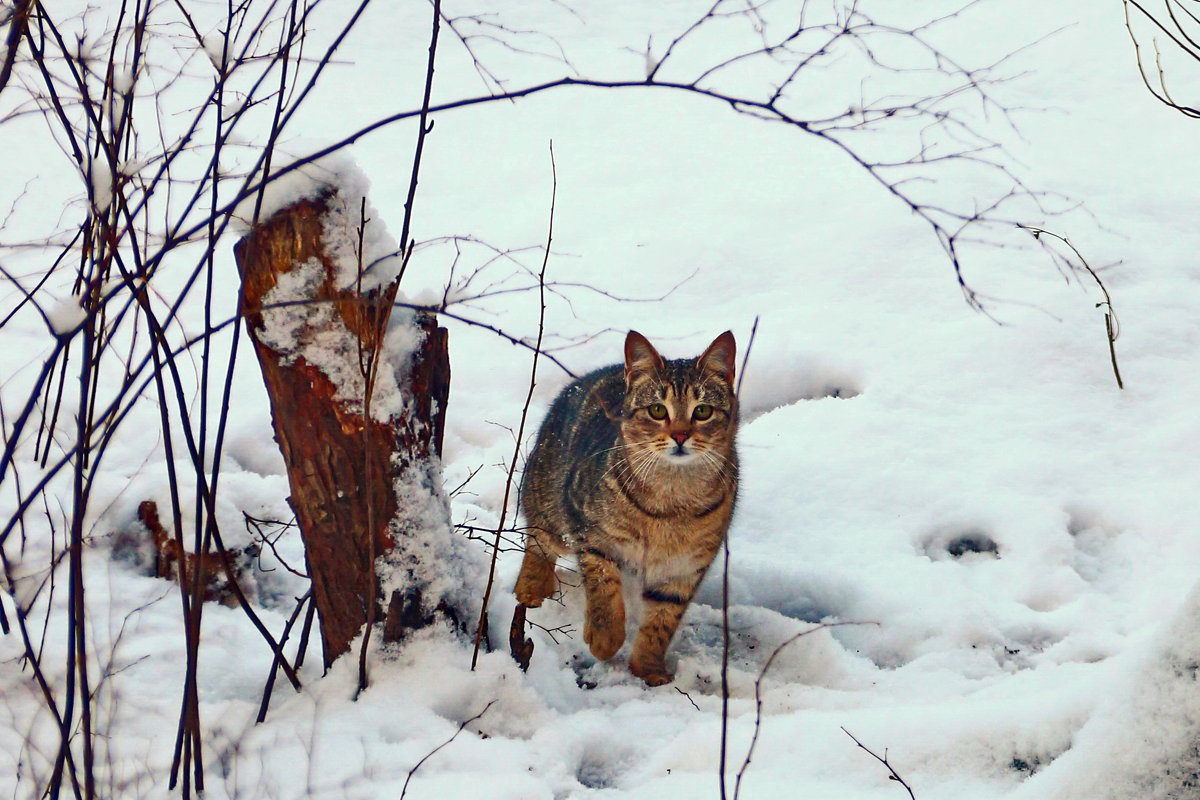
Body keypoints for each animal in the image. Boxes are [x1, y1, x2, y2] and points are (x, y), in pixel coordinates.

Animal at [518, 328, 739, 686]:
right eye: (658, 410)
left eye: (703, 411)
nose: (680, 436)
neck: (672, 500)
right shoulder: (588, 531)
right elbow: (603, 587)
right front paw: (605, 638)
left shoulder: (684, 568)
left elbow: (662, 622)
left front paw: (647, 668)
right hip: (548, 503)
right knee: (536, 541)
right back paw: (531, 590)